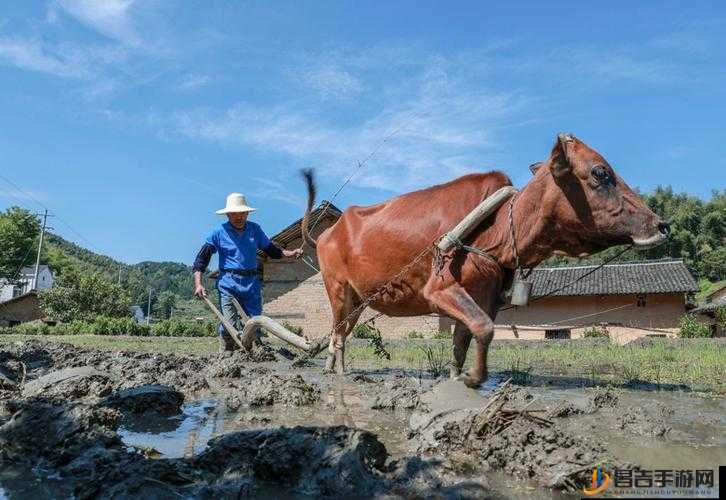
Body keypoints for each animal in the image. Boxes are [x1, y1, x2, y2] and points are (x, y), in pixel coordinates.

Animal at [300, 133, 672, 386]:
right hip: (337, 288)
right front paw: (475, 378)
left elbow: (463, 342)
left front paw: (455, 377)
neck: (500, 231)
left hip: (359, 298)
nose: (662, 224)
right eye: (600, 173)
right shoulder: (440, 287)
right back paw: (340, 374)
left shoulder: (488, 296)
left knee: (340, 334)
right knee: (337, 333)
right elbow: (484, 328)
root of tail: (328, 232)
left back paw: (333, 368)